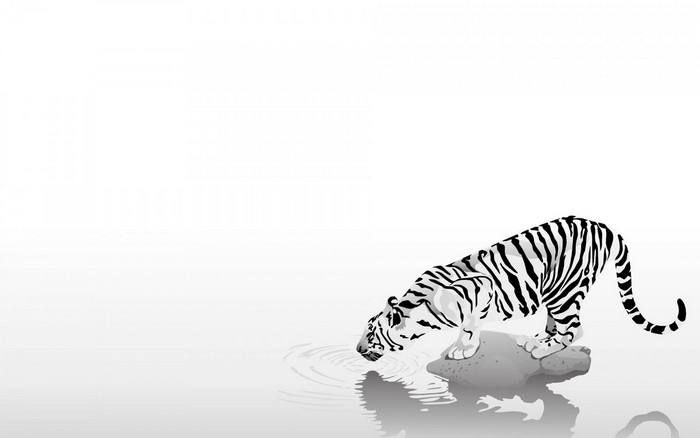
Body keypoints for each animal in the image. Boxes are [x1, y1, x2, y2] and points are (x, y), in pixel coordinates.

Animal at [356, 216, 686, 361]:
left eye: (371, 334)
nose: (357, 349)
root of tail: (602, 226)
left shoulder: (481, 289)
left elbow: (470, 326)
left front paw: (464, 349)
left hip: (564, 292)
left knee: (574, 329)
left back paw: (542, 349)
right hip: (555, 292)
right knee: (559, 323)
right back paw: (538, 337)